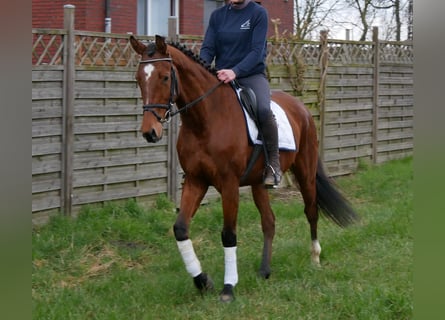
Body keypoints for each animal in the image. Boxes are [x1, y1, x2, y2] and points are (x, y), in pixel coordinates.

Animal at [128, 35, 358, 302]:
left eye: (165, 77)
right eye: (138, 79)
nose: (150, 132)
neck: (206, 119)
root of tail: (301, 107)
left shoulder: (229, 185)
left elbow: (228, 234)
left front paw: (228, 288)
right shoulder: (196, 181)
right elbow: (180, 228)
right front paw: (202, 281)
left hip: (306, 172)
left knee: (311, 211)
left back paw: (315, 258)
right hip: (259, 183)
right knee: (269, 221)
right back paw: (264, 271)